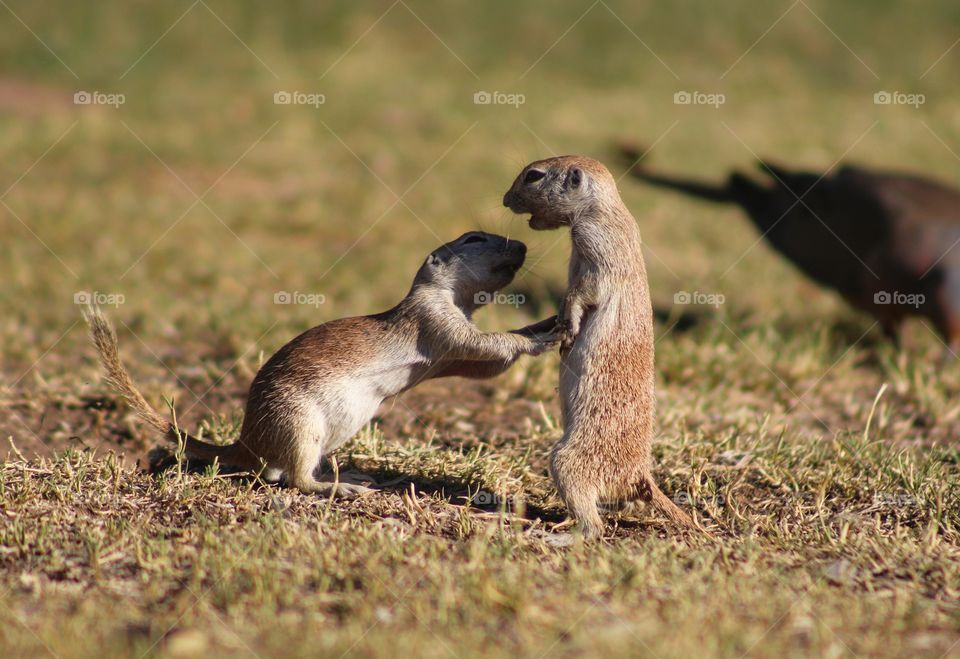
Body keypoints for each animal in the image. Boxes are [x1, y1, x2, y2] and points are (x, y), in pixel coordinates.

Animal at [89, 232, 560, 496]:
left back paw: (356, 476)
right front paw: (541, 336)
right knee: (294, 480)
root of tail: (246, 443)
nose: (522, 245)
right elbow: (484, 346)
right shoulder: (437, 321)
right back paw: (345, 488)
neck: (452, 296)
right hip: (300, 425)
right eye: (474, 240)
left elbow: (482, 364)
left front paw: (546, 321)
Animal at [502, 157, 696, 540]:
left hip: (567, 461)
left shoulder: (596, 244)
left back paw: (556, 535)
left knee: (594, 527)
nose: (504, 199)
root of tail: (640, 475)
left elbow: (584, 292)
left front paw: (570, 328)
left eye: (533, 176)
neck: (604, 208)